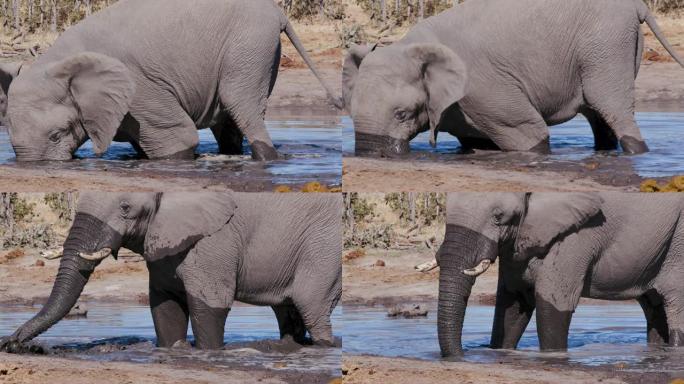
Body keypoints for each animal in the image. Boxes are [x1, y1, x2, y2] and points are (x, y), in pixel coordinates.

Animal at [0, 192, 342, 352]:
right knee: (288, 311)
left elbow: (210, 305)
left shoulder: (215, 239)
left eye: (125, 208)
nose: (12, 342)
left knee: (311, 306)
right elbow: (165, 305)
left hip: (322, 249)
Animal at [2, 0, 340, 161]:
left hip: (250, 45)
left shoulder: (140, 89)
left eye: (56, 135)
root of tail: (277, 12)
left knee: (240, 104)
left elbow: (177, 139)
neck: (59, 61)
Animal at [344, 0, 684, 158]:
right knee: (599, 117)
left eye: (402, 114)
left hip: (606, 46)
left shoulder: (482, 87)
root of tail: (636, 5)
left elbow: (529, 134)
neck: (411, 46)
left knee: (612, 108)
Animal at [438, 194, 684, 358]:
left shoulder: (575, 236)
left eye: (498, 217)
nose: (463, 355)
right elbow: (514, 303)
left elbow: (552, 306)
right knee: (654, 307)